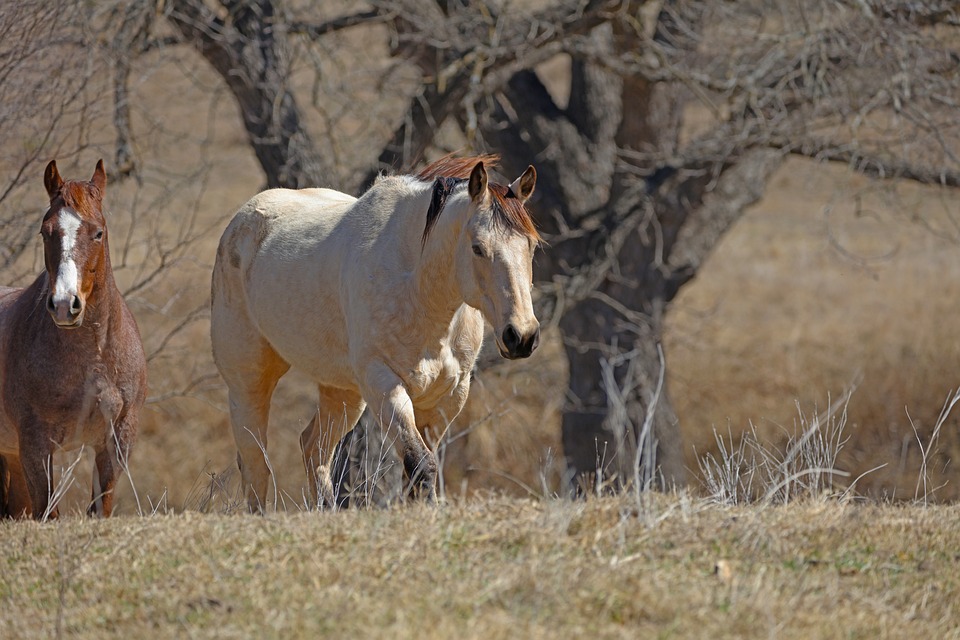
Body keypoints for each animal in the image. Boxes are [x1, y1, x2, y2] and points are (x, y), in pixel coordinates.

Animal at [0, 160, 146, 520]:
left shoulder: (115, 440)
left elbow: (100, 508)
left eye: (98, 232)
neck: (93, 360)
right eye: (45, 231)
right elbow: (48, 512)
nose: (66, 305)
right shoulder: (36, 446)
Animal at [211, 155, 540, 510]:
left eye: (532, 246)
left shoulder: (449, 395)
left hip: (342, 393)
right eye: (478, 247)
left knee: (314, 448)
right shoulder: (383, 384)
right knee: (255, 465)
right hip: (249, 382)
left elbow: (421, 470)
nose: (521, 336)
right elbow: (421, 463)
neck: (419, 292)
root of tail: (240, 222)